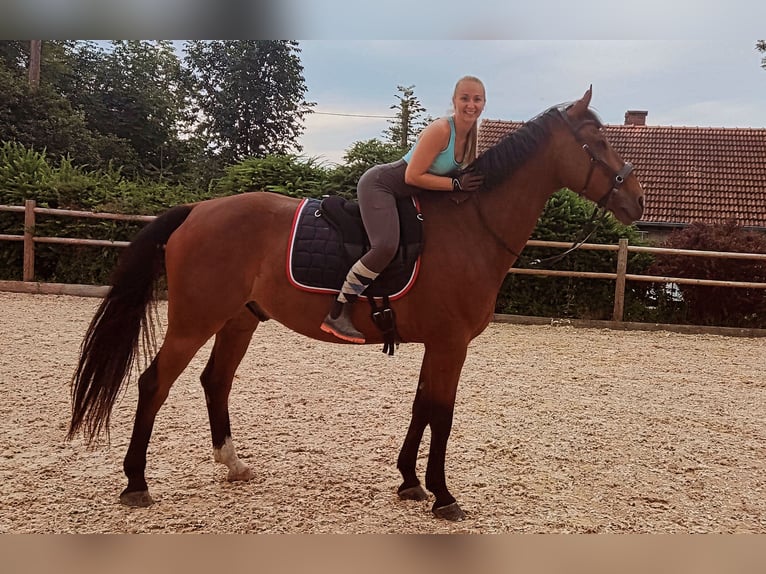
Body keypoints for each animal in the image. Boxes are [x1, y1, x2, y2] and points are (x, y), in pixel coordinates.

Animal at [68, 87, 644, 521]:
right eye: (597, 139)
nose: (637, 200)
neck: (471, 225)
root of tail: (196, 211)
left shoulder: (435, 344)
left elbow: (422, 407)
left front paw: (411, 482)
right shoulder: (451, 344)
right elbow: (442, 414)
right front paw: (443, 495)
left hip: (238, 320)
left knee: (216, 381)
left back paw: (232, 465)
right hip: (194, 321)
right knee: (153, 383)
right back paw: (136, 482)